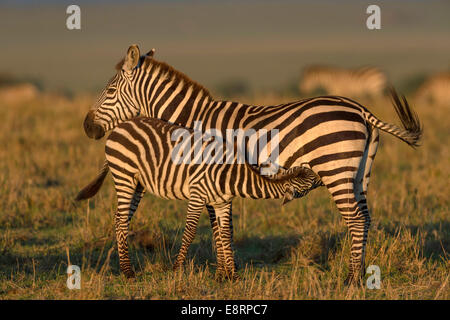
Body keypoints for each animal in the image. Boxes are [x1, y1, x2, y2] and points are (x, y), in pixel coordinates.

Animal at [77, 117, 324, 280]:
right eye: (313, 180)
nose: (324, 174)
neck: (230, 175)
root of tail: (121, 126)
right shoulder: (197, 195)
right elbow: (189, 232)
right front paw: (177, 269)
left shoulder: (222, 202)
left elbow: (224, 233)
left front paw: (231, 275)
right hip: (124, 176)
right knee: (121, 221)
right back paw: (127, 271)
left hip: (138, 184)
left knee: (120, 219)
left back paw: (125, 266)